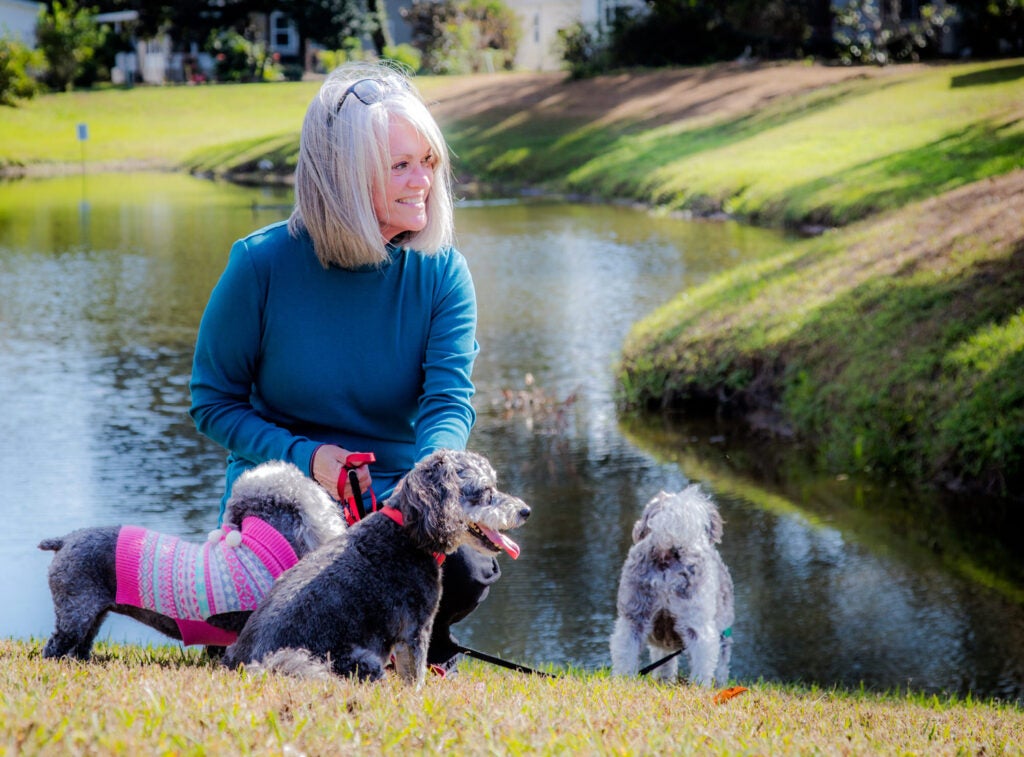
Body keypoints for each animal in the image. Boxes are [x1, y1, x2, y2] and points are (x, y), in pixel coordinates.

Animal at [37, 458, 346, 659]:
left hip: (93, 612)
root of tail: (64, 541)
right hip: (75, 608)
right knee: (56, 644)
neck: (261, 546)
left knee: (82, 643)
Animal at [221, 450, 532, 688]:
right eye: (485, 491)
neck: (407, 533)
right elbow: (414, 675)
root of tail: (255, 665)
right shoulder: (415, 629)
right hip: (359, 660)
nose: (525, 511)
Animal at [606, 485, 737, 688]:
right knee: (704, 653)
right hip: (696, 620)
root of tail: (667, 547)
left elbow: (665, 665)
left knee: (624, 651)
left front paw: (664, 682)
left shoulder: (661, 644)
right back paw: (700, 687)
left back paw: (624, 681)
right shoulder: (723, 636)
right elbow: (721, 669)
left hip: (633, 617)